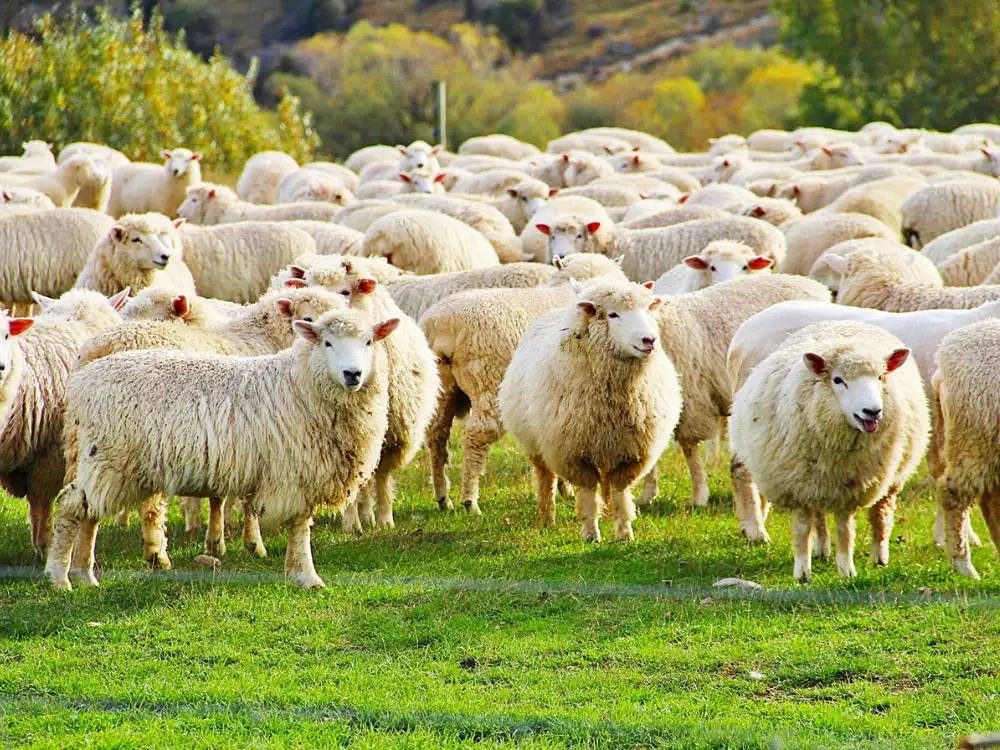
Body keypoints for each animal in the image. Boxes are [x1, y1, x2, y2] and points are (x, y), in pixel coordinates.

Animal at [46, 305, 397, 591]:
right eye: (327, 343)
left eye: (369, 342)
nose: (353, 374)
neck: (302, 384)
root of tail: (82, 380)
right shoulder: (294, 471)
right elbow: (300, 527)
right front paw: (306, 576)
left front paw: (295, 571)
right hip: (107, 456)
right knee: (73, 508)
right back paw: (60, 578)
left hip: (106, 462)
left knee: (89, 514)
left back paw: (83, 574)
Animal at [420, 253, 627, 514]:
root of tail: (440, 324)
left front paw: (564, 488)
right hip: (488, 382)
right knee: (476, 435)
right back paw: (470, 500)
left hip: (443, 386)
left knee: (436, 434)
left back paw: (442, 497)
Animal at [499, 279, 681, 541]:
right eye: (613, 314)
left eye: (647, 309)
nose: (650, 340)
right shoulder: (573, 454)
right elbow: (587, 494)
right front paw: (590, 534)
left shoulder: (633, 453)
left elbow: (620, 492)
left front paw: (624, 533)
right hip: (537, 444)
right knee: (545, 479)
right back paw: (547, 518)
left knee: (605, 483)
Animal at [730, 321, 928, 581]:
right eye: (837, 380)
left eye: (880, 376)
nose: (873, 411)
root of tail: (843, 322)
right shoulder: (798, 485)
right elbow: (803, 527)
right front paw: (802, 572)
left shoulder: (851, 487)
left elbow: (844, 529)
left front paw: (846, 570)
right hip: (815, 481)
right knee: (819, 515)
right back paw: (821, 550)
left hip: (890, 476)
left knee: (881, 513)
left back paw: (879, 557)